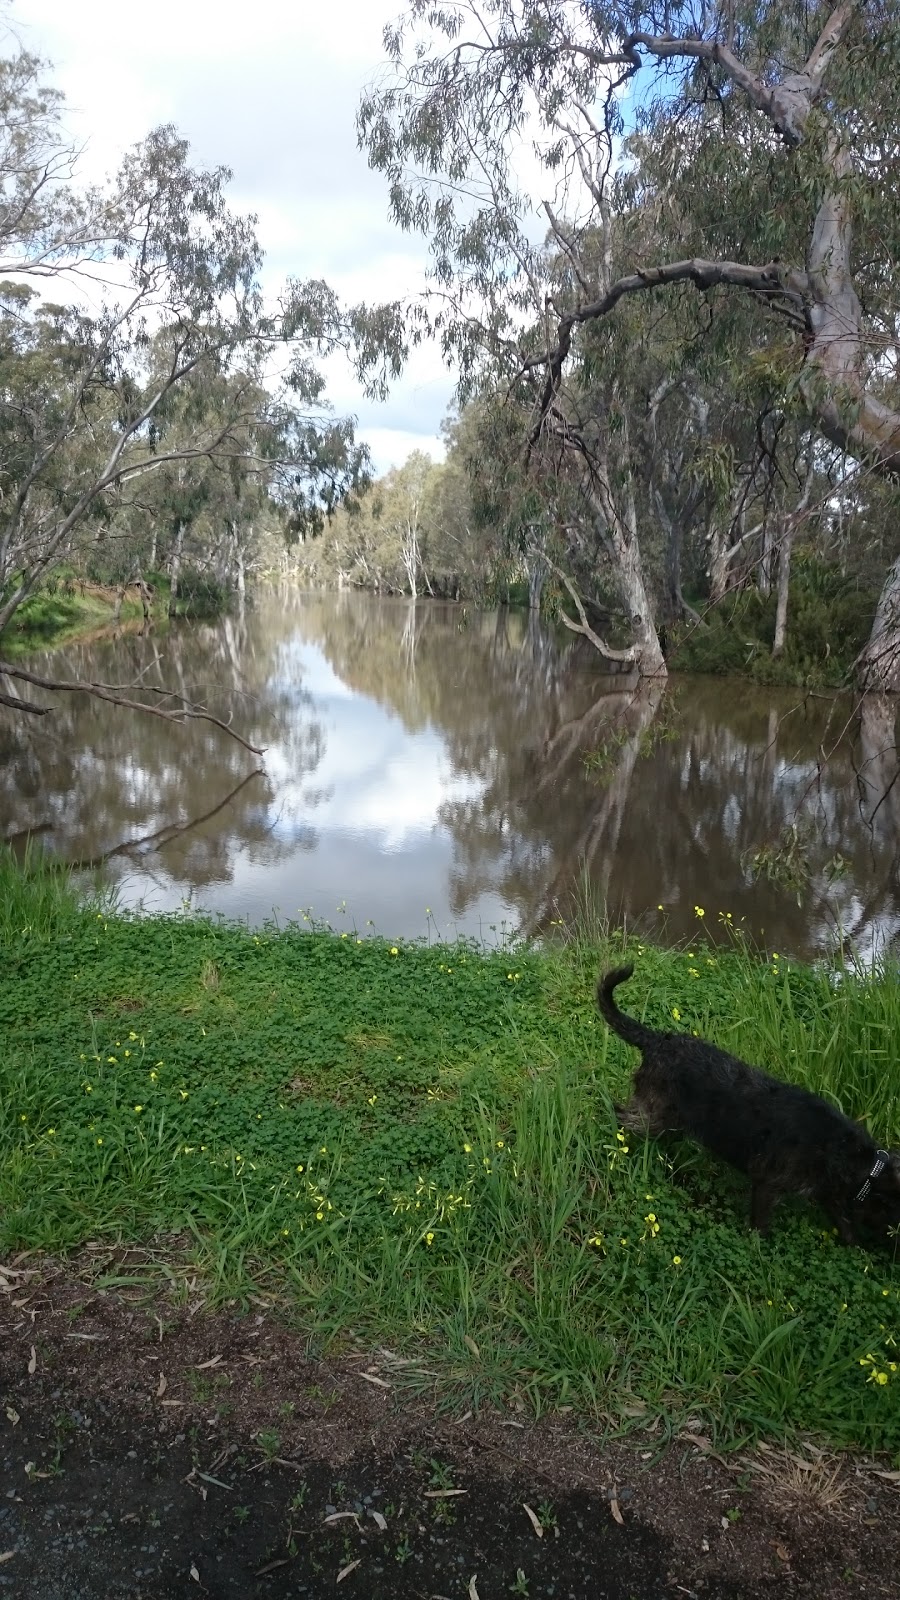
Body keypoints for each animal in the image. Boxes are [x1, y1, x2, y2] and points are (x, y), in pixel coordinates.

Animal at [595, 960, 896, 1235]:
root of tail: (658, 1040)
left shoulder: (829, 1195)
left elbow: (844, 1224)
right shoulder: (767, 1181)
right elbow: (761, 1224)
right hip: (654, 1115)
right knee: (621, 1113)